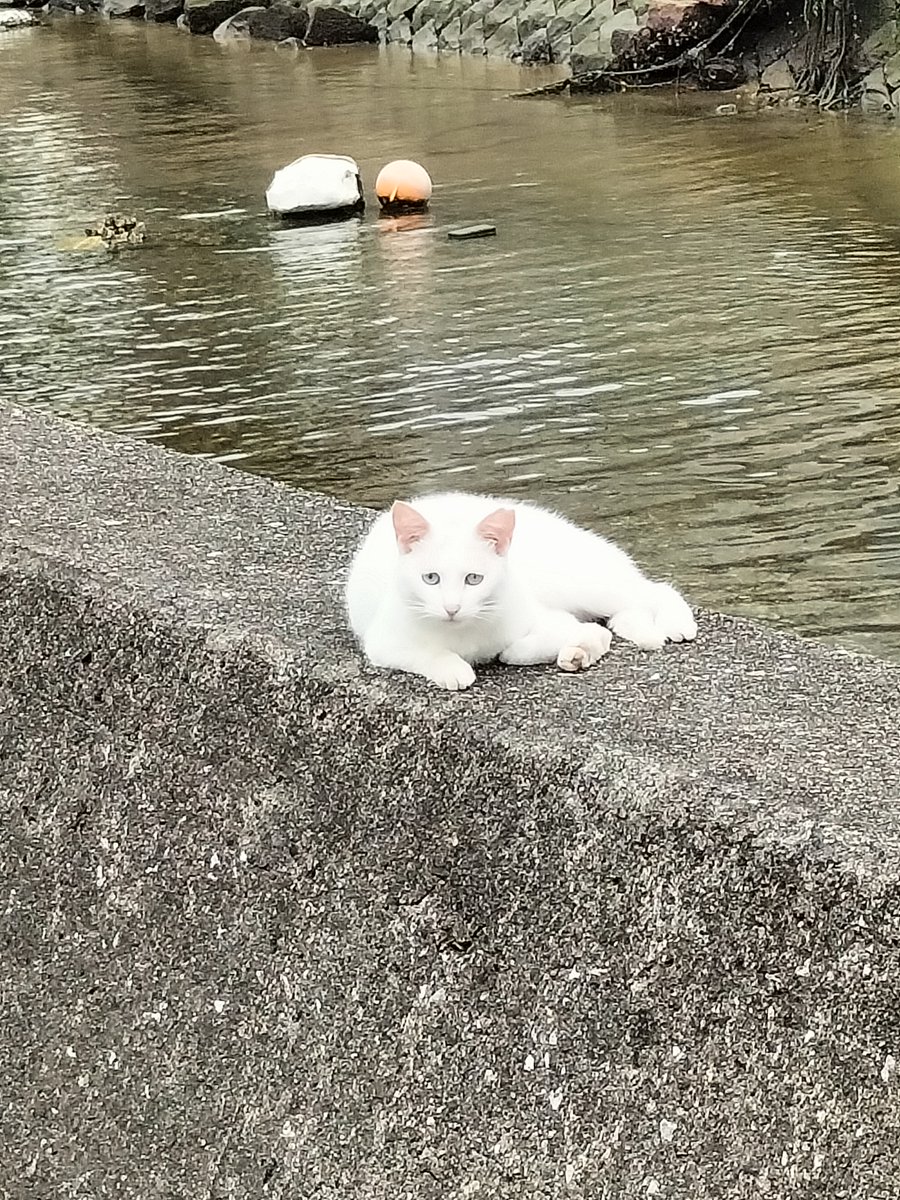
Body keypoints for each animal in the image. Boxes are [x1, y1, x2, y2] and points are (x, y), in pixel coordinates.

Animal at [345, 489, 696, 696]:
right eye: (430, 578)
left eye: (474, 579)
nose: (452, 608)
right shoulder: (383, 642)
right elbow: (426, 652)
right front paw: (454, 669)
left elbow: (520, 649)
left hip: (581, 583)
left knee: (654, 590)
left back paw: (677, 623)